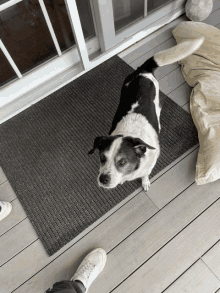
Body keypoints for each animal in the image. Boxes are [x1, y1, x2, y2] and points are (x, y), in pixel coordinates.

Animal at [88, 37, 204, 190]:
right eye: (102, 157)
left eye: (122, 162)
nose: (103, 179)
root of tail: (143, 71)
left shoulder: (148, 167)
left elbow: (145, 175)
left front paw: (145, 182)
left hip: (157, 99)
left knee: (158, 110)